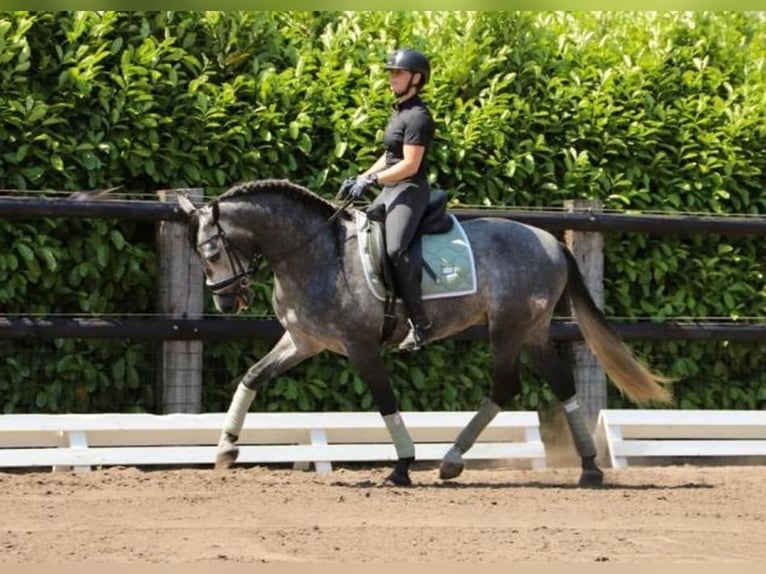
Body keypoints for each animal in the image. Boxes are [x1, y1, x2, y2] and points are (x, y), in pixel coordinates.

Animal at [177, 178, 672, 487]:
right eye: (200, 254)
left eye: (213, 250)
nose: (227, 303)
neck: (316, 252)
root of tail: (551, 240)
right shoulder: (303, 341)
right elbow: (253, 377)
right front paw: (225, 450)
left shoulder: (360, 346)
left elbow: (385, 401)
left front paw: (402, 466)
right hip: (531, 330)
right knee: (560, 383)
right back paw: (587, 468)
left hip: (508, 329)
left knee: (506, 385)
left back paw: (452, 460)